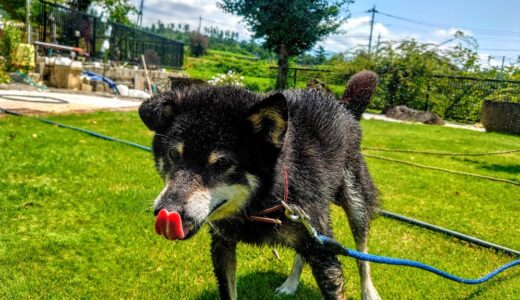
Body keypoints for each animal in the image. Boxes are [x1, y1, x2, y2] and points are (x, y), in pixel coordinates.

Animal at [140, 71, 380, 298]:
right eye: (173, 154)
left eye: (223, 163)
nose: (167, 211)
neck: (263, 201)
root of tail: (344, 106)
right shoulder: (223, 244)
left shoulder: (324, 253)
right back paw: (290, 284)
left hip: (354, 204)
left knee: (362, 255)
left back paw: (369, 292)